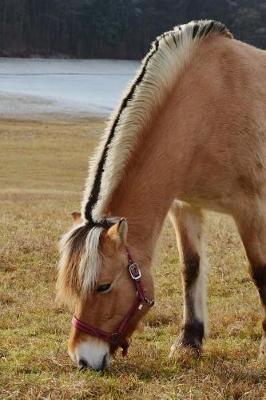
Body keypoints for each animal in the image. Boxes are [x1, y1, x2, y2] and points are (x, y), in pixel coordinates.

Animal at [56, 21, 266, 372]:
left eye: (104, 285)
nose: (83, 358)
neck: (210, 105)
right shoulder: (184, 206)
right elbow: (191, 268)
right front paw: (189, 343)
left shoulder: (250, 210)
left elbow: (260, 272)